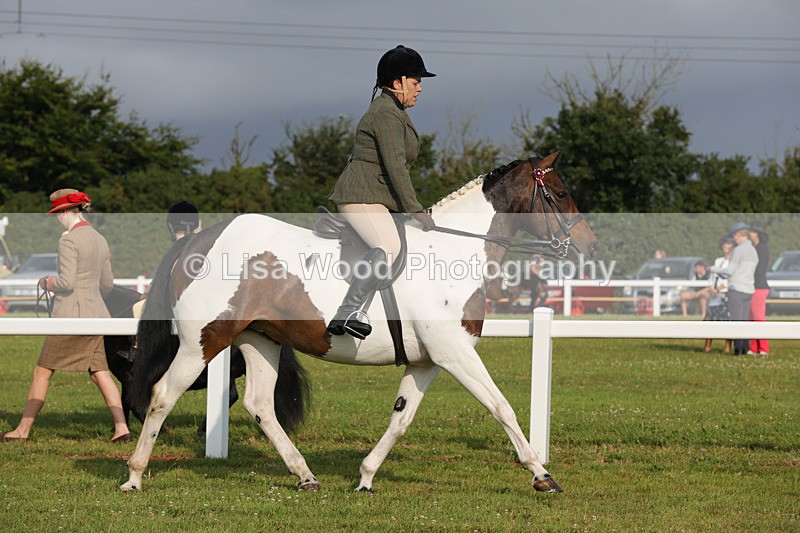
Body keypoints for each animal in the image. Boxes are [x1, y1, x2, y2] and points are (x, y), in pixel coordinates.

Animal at [120, 151, 599, 494]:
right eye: (558, 193)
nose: (589, 247)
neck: (454, 252)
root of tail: (197, 241)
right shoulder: (455, 353)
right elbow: (501, 406)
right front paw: (541, 474)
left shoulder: (428, 360)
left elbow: (401, 418)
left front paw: (366, 477)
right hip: (203, 341)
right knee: (162, 395)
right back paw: (134, 475)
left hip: (261, 339)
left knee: (260, 406)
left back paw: (305, 476)